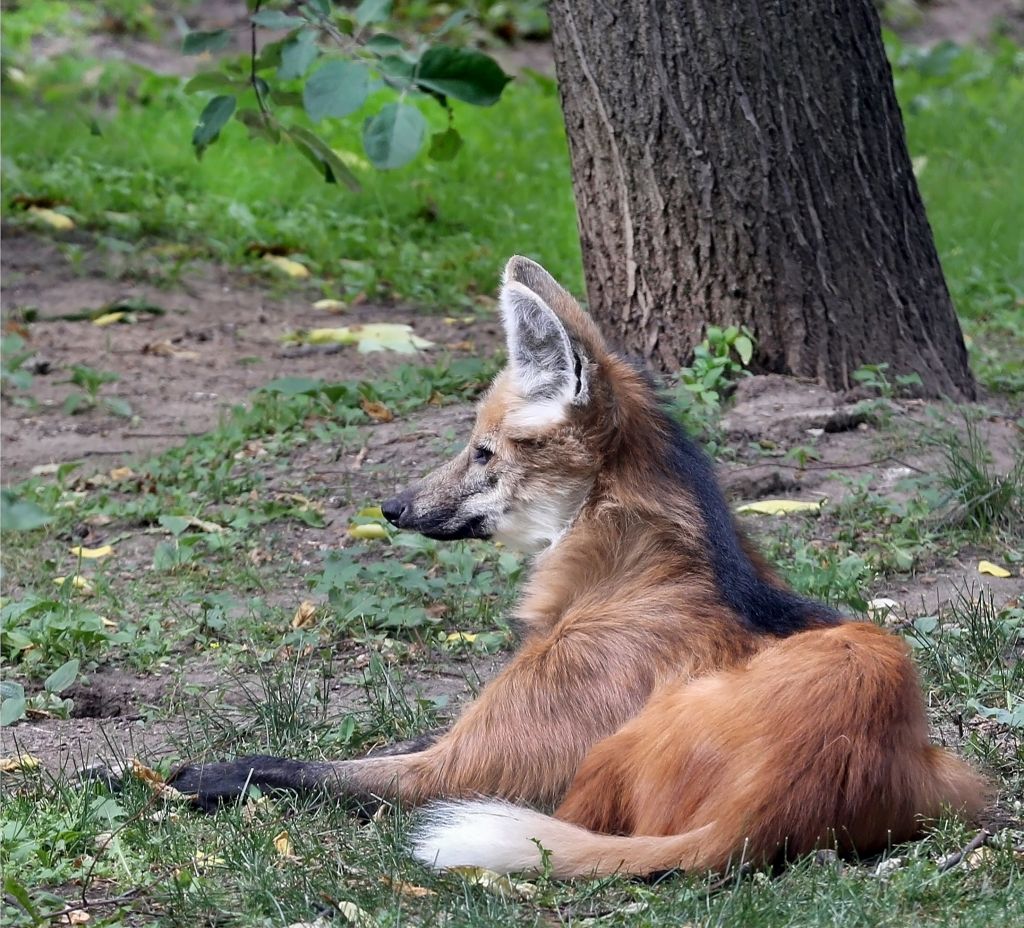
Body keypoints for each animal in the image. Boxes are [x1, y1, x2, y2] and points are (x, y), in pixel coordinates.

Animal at [172, 257, 987, 880]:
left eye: (482, 452)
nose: (393, 506)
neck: (628, 564)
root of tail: (776, 805)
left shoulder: (465, 767)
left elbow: (327, 767)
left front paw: (191, 775)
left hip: (616, 749)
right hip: (950, 764)